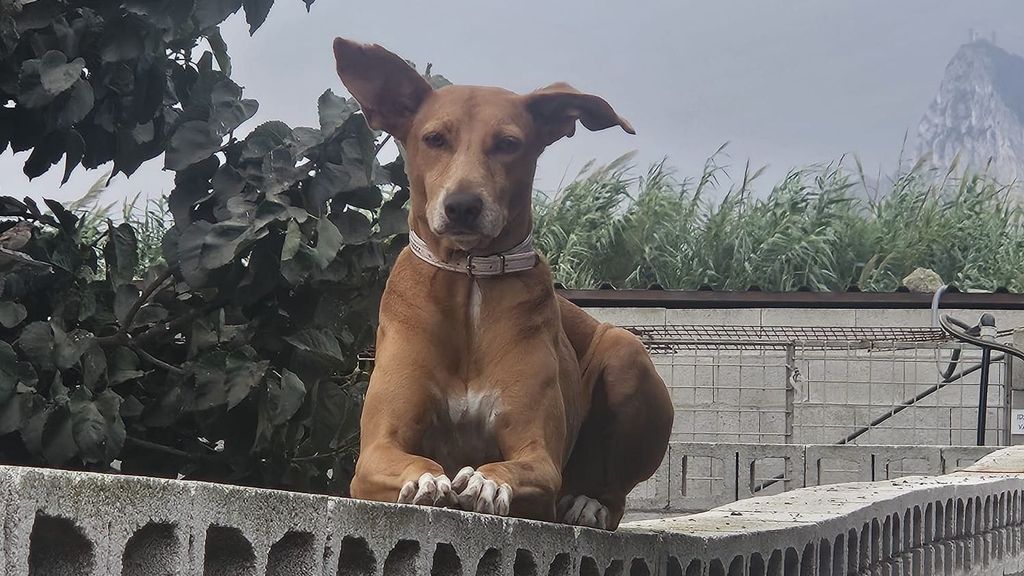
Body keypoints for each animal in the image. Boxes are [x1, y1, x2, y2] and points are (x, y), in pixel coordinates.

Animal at [331, 35, 675, 528]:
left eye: (508, 144)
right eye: (434, 139)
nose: (462, 205)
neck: (470, 277)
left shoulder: (538, 455)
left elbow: (520, 467)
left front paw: (486, 482)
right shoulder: (376, 450)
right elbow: (410, 460)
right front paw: (427, 480)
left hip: (627, 354)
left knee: (613, 491)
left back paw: (589, 503)